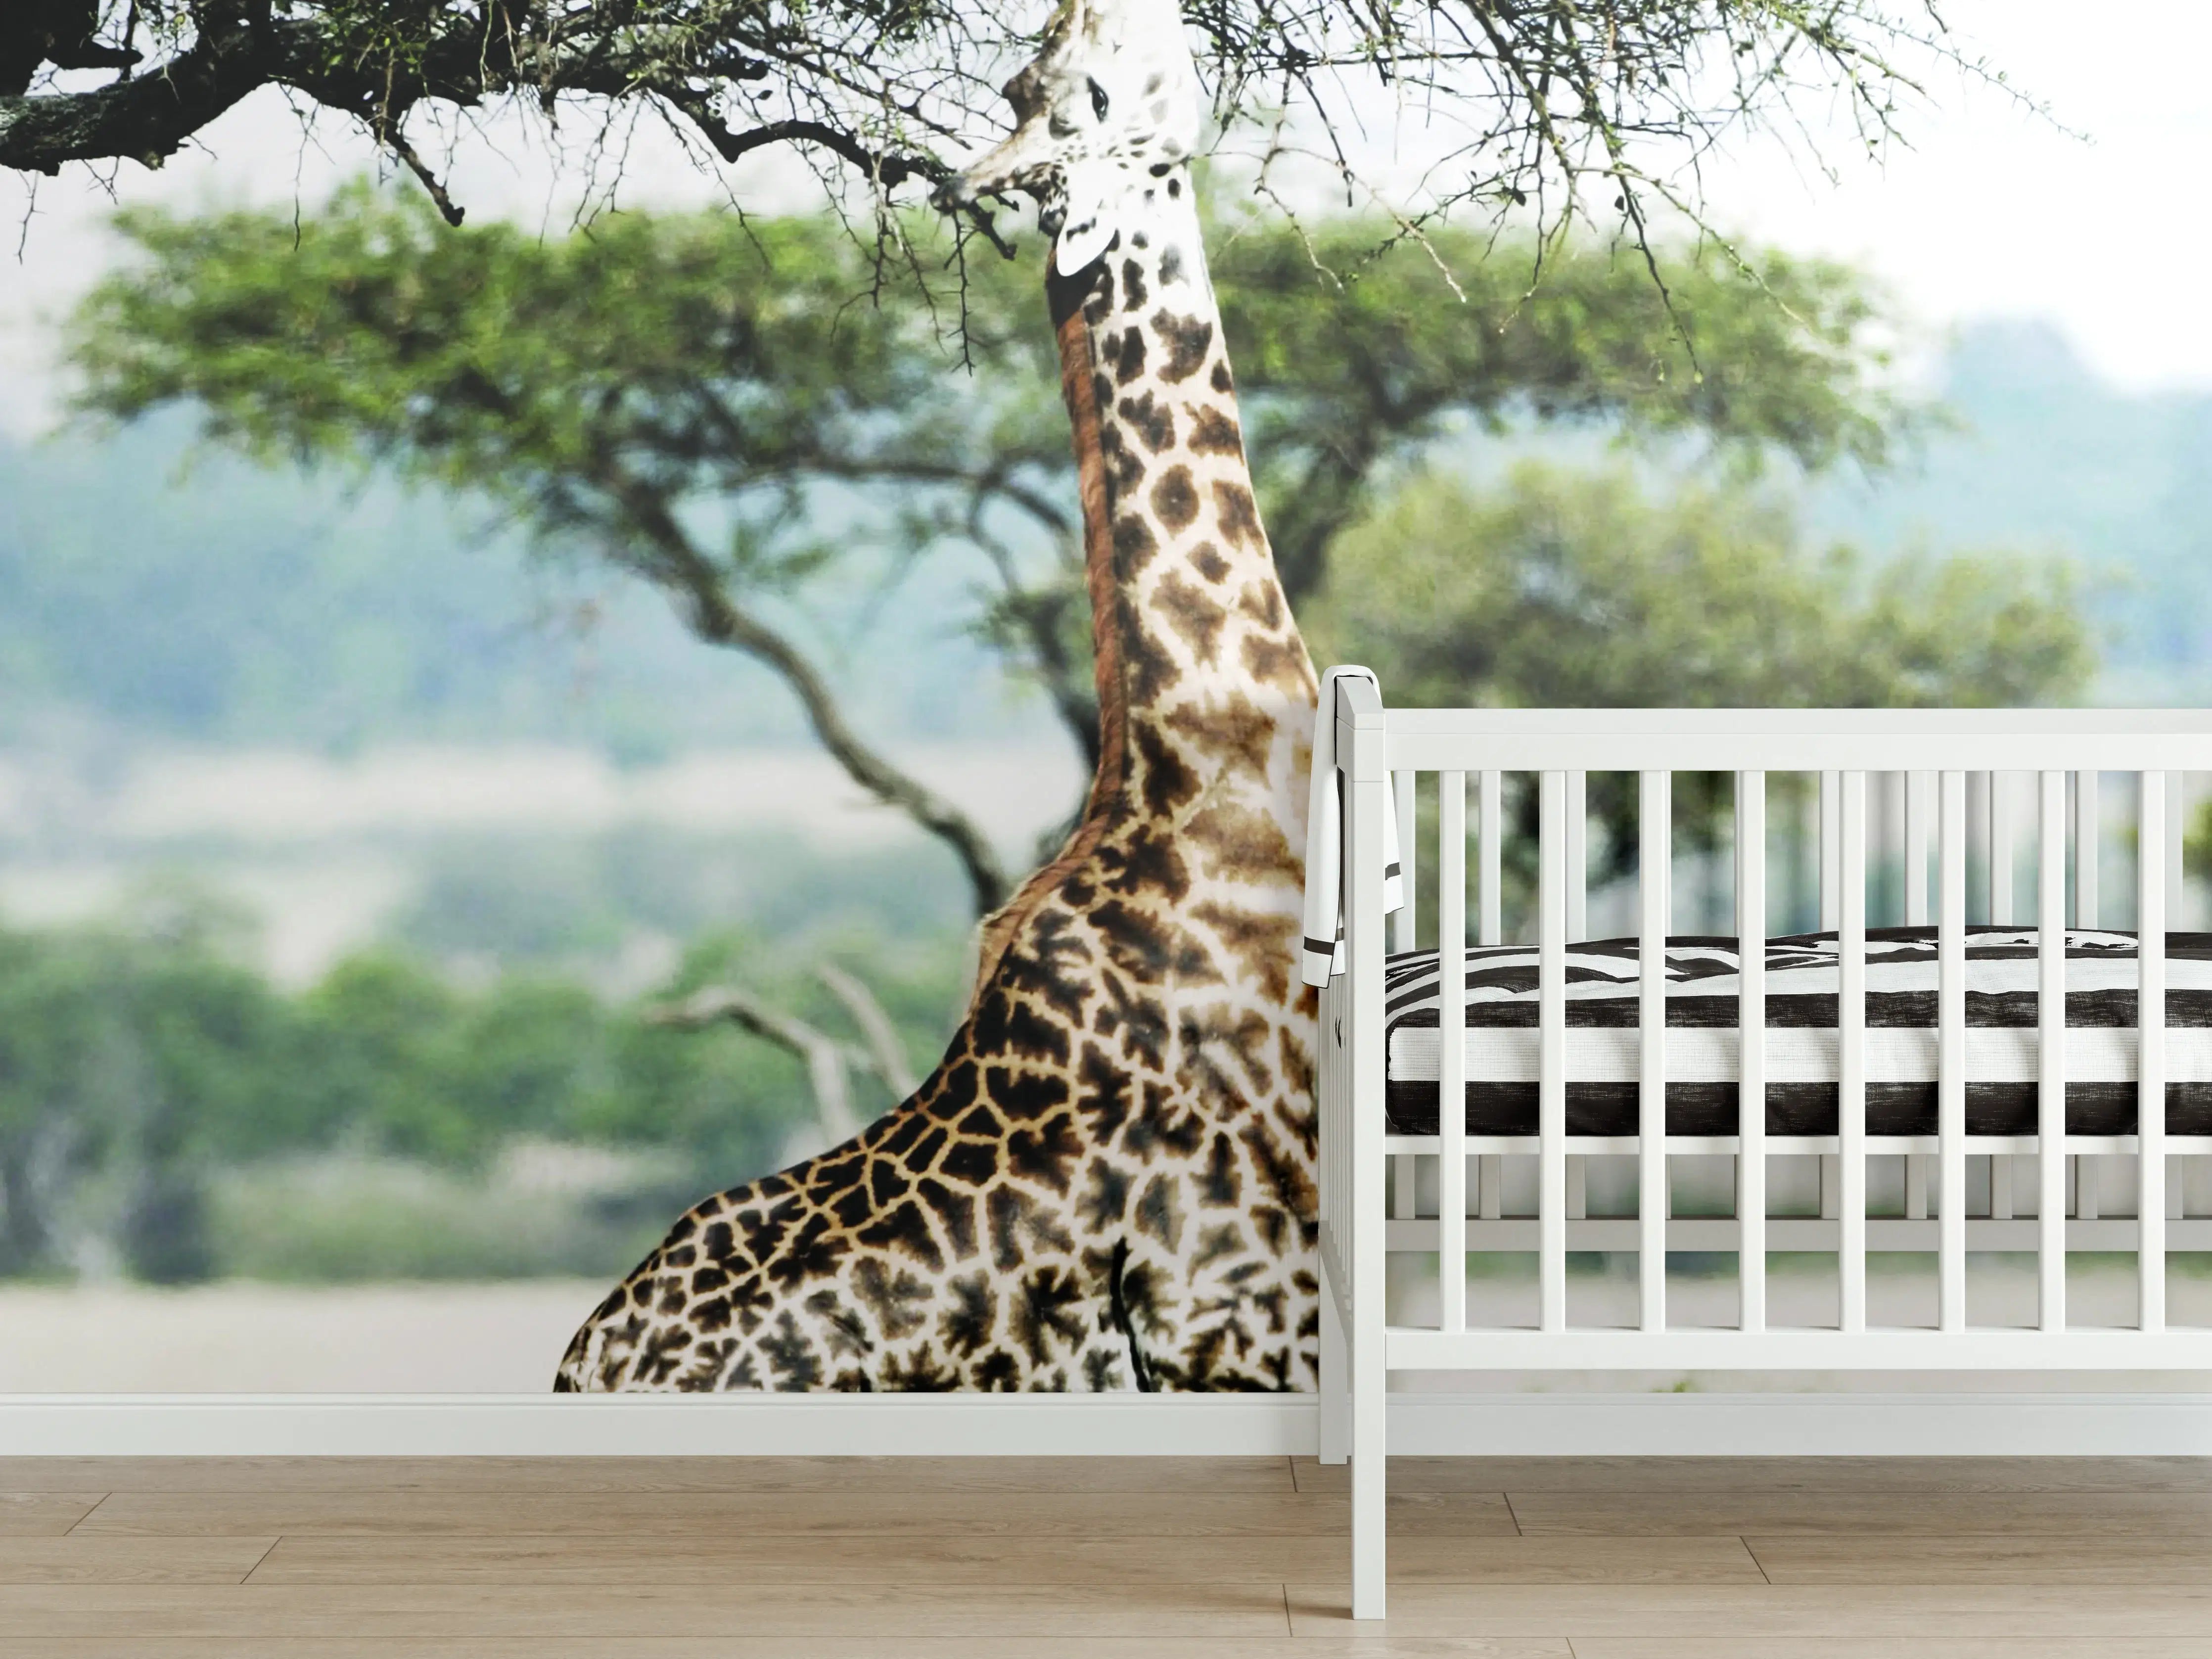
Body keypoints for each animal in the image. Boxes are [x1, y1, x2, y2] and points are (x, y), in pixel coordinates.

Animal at [555, 0, 1322, 1393]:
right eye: (1077, 91)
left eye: (1033, 85)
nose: (1109, 15)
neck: (1215, 747)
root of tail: (578, 1368)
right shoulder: (1247, 1307)